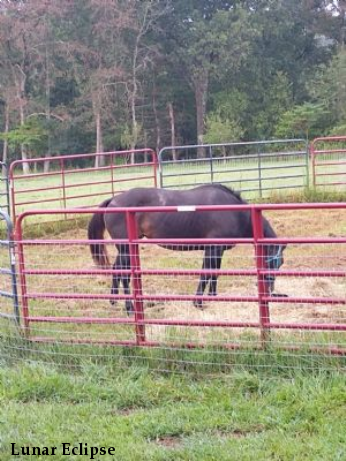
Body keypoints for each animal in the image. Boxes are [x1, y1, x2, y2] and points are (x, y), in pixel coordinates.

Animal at [88, 185, 286, 314]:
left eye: (280, 263)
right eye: (270, 260)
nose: (270, 291)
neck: (235, 212)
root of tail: (113, 200)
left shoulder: (217, 250)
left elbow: (214, 273)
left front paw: (213, 298)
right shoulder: (213, 249)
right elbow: (206, 273)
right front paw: (198, 303)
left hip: (126, 249)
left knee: (117, 270)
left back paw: (114, 300)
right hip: (126, 248)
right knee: (123, 274)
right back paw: (129, 308)